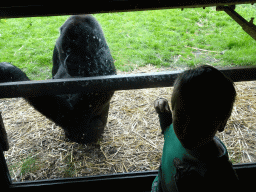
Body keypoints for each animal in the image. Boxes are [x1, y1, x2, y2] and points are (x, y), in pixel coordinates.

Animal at [0, 14, 116, 144]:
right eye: (66, 48)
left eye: (79, 49)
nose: (70, 60)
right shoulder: (56, 47)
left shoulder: (102, 69)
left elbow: (73, 118)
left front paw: (10, 72)